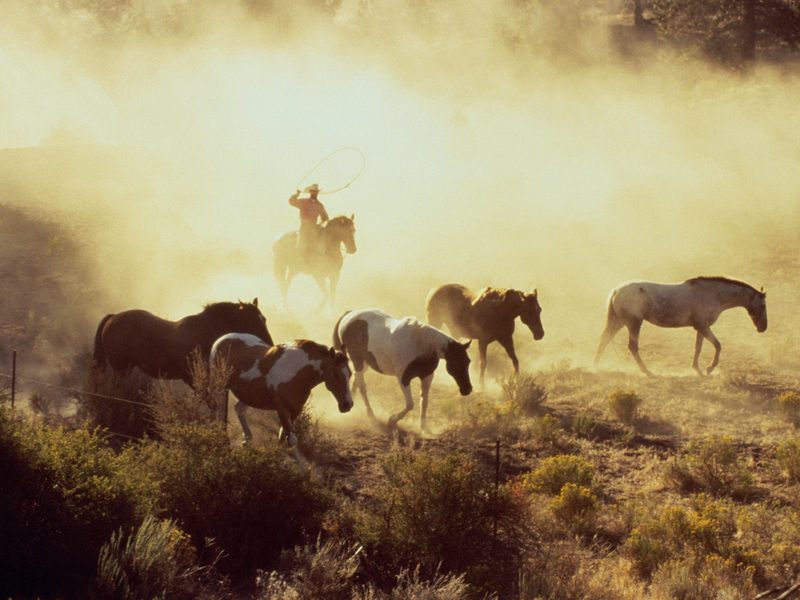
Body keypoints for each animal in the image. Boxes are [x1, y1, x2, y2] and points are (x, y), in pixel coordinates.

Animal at [93, 298, 276, 384]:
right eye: (253, 321)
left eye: (264, 319)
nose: (270, 345)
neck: (203, 332)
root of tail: (113, 318)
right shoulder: (191, 377)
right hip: (121, 367)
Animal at [211, 332, 352, 450]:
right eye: (336, 375)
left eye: (350, 373)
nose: (348, 405)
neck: (296, 374)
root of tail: (221, 339)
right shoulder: (281, 409)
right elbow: (292, 441)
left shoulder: (295, 410)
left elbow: (283, 438)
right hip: (220, 388)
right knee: (217, 409)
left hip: (248, 395)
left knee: (239, 409)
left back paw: (247, 438)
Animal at [330, 310, 472, 432]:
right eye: (455, 364)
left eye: (468, 361)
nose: (467, 389)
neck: (420, 345)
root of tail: (349, 315)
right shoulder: (403, 379)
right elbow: (410, 404)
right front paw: (392, 420)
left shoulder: (427, 377)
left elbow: (424, 401)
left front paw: (424, 427)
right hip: (357, 361)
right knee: (362, 387)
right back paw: (370, 414)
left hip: (365, 364)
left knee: (355, 381)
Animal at [592, 276, 768, 376]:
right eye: (762, 306)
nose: (763, 328)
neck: (713, 294)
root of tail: (616, 290)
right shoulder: (703, 327)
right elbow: (718, 345)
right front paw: (709, 368)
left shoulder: (700, 328)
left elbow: (698, 348)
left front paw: (697, 369)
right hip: (634, 323)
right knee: (632, 347)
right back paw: (648, 372)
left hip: (619, 322)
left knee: (604, 340)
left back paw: (595, 367)